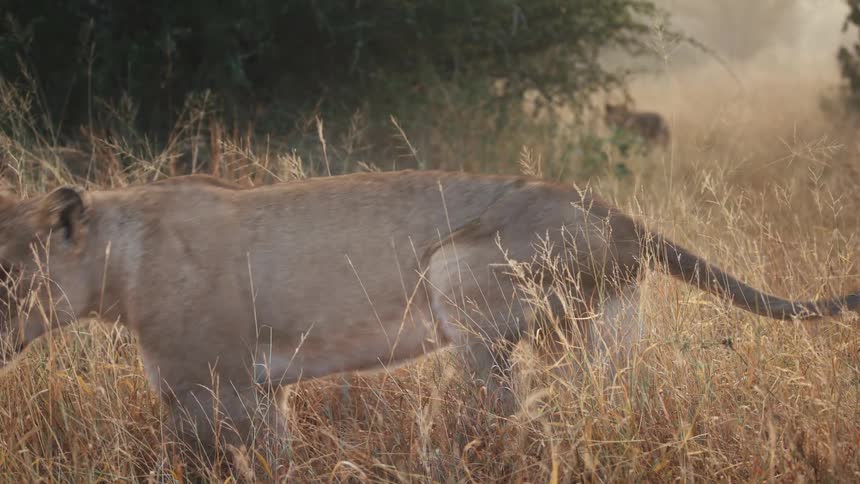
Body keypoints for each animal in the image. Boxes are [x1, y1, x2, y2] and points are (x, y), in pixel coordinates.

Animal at [0, 170, 856, 454]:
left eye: (6, 272)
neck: (119, 258)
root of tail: (615, 214)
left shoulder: (224, 389)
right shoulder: (233, 392)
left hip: (459, 278)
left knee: (509, 410)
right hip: (607, 327)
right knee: (600, 403)